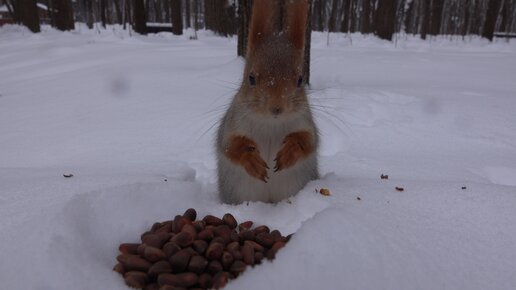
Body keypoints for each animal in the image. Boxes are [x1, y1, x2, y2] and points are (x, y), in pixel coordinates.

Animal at [215, 0, 318, 204]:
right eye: (251, 78)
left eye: (300, 79)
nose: (276, 108)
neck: (271, 123)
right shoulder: (232, 123)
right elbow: (229, 145)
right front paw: (252, 160)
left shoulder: (306, 122)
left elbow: (309, 142)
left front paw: (291, 150)